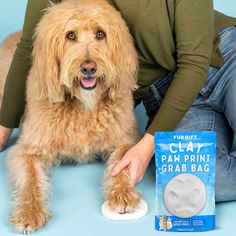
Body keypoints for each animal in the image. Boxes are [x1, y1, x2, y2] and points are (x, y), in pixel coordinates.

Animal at [0, 0, 141, 233]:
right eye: (70, 35)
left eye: (100, 34)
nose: (88, 68)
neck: (83, 105)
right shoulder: (27, 151)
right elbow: (30, 180)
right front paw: (30, 211)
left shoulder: (125, 139)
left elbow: (123, 164)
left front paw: (122, 192)